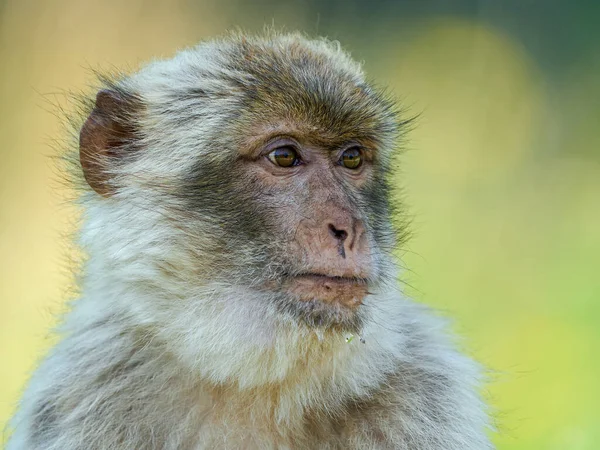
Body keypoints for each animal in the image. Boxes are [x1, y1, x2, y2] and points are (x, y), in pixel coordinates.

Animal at [5, 32, 492, 450]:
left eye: (352, 157)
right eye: (285, 156)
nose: (349, 228)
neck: (257, 379)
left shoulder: (429, 391)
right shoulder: (84, 392)